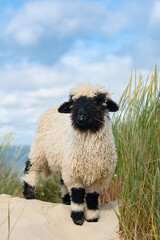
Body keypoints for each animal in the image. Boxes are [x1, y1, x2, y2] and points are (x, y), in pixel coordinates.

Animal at [23, 84, 119, 225]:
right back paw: (30, 196)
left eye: (98, 102)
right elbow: (78, 196)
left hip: (65, 163)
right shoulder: (75, 175)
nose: (81, 115)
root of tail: (52, 107)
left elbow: (91, 198)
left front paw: (92, 218)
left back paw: (67, 203)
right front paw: (78, 219)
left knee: (63, 183)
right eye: (73, 103)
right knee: (31, 170)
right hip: (38, 150)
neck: (90, 152)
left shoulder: (99, 177)